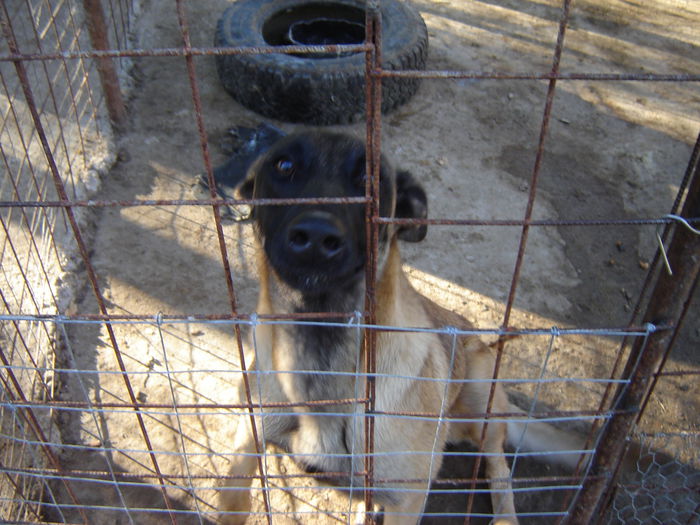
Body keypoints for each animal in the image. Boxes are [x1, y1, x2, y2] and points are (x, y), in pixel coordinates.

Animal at [220, 131, 584, 524]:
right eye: (284, 165)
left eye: (370, 178)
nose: (316, 236)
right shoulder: (247, 439)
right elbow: (232, 498)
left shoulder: (407, 498)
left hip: (479, 394)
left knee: (497, 463)